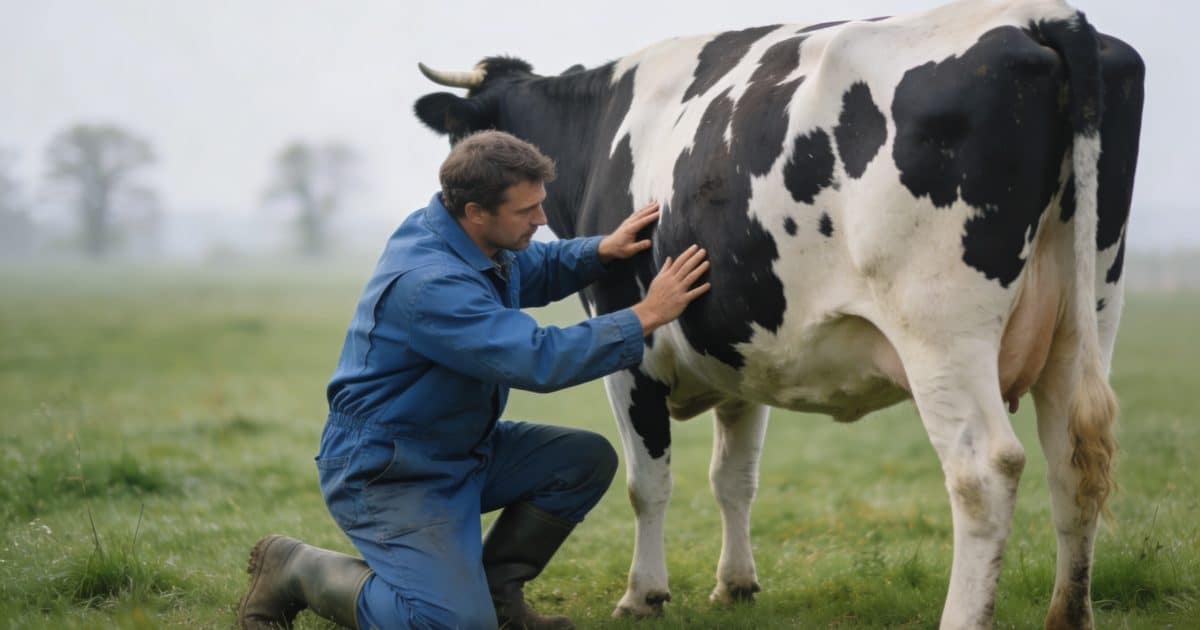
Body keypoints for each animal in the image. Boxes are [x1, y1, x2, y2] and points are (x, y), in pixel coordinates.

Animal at [412, 0, 1144, 627]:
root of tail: (1039, 17)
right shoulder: (742, 350)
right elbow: (733, 478)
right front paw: (735, 585)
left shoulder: (630, 349)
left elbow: (648, 481)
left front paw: (643, 595)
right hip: (1088, 310)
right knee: (1071, 459)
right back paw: (1068, 615)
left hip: (941, 326)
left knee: (984, 470)